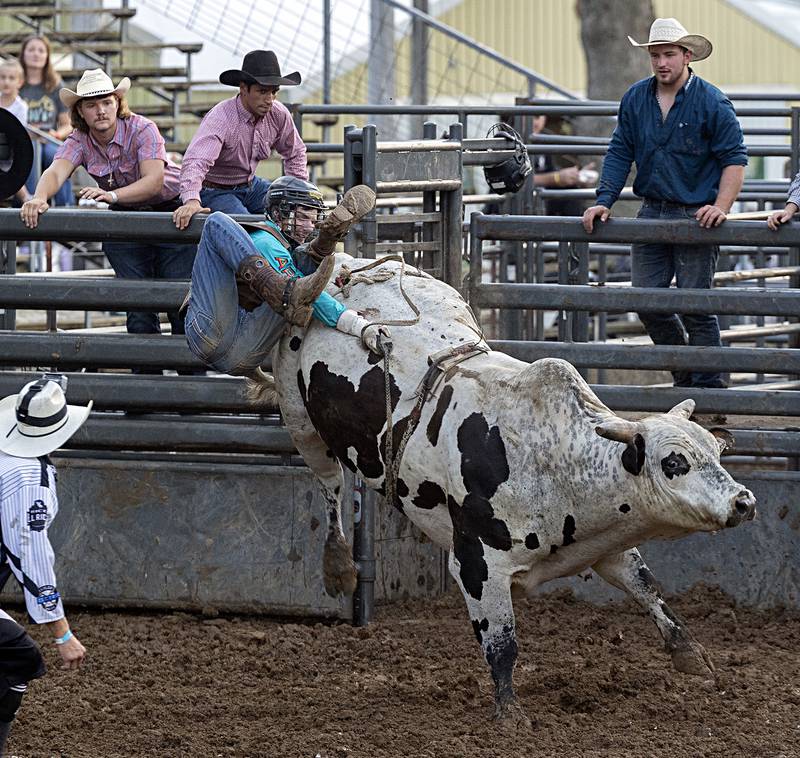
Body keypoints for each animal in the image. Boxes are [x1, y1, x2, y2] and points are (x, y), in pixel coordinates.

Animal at [258, 254, 756, 720]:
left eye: (716, 452)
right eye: (674, 462)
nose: (744, 501)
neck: (557, 458)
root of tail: (345, 264)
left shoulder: (606, 542)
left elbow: (646, 586)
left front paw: (690, 655)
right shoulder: (478, 565)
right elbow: (501, 642)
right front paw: (509, 712)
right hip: (299, 416)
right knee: (330, 486)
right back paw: (339, 566)